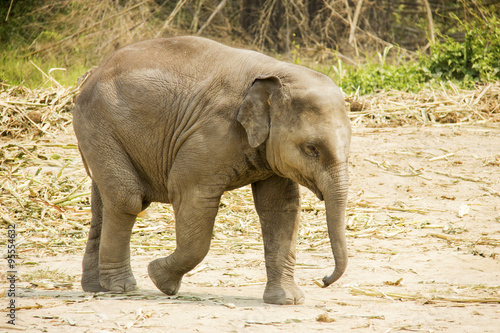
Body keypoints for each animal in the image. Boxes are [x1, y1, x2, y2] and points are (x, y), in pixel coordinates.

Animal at [73, 35, 352, 304]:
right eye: (311, 149)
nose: (323, 280)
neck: (277, 72)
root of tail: (93, 73)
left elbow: (281, 208)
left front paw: (287, 301)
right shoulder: (211, 134)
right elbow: (191, 195)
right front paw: (160, 279)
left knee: (103, 205)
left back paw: (97, 287)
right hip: (99, 126)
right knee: (127, 200)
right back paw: (122, 287)